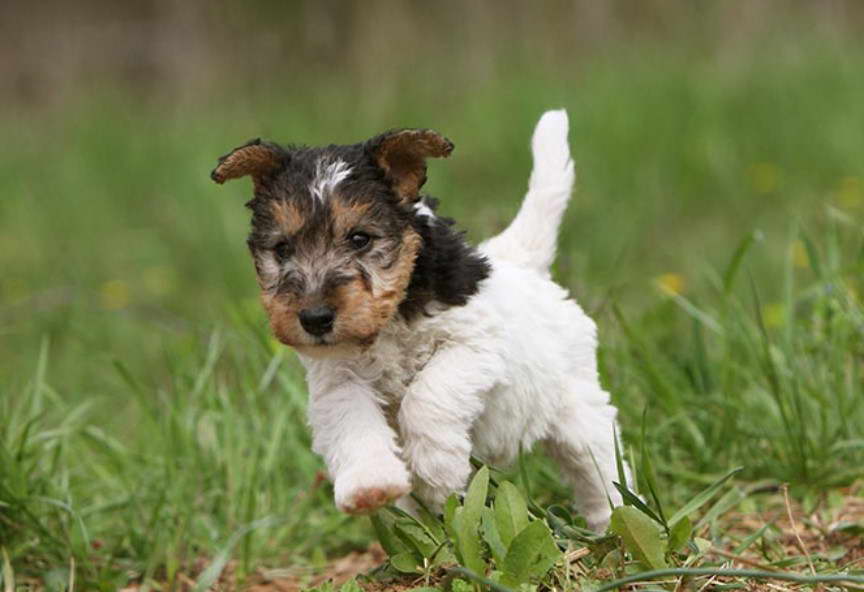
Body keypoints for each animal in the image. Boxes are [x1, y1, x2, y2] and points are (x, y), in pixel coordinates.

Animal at [213, 108, 624, 528]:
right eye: (282, 248)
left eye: (360, 238)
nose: (314, 319)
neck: (391, 317)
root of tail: (523, 265)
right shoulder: (338, 378)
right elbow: (353, 423)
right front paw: (370, 485)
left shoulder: (474, 344)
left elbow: (427, 395)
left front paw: (436, 470)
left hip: (577, 410)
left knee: (597, 463)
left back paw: (612, 519)